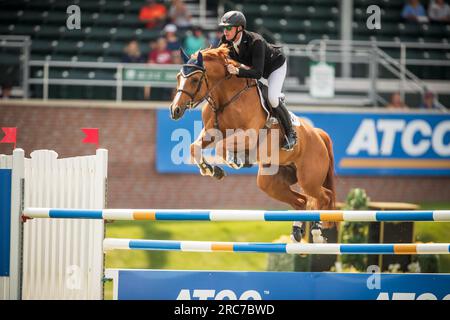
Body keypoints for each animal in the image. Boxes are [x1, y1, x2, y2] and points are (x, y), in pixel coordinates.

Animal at [171, 44, 336, 240]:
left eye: (195, 79)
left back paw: (317, 231)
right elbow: (194, 147)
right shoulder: (211, 132)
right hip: (270, 181)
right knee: (302, 201)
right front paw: (210, 169)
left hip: (309, 179)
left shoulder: (247, 135)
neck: (226, 97)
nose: (175, 110)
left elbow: (221, 146)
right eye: (178, 77)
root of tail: (318, 134)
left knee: (324, 196)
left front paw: (234, 162)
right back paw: (297, 231)